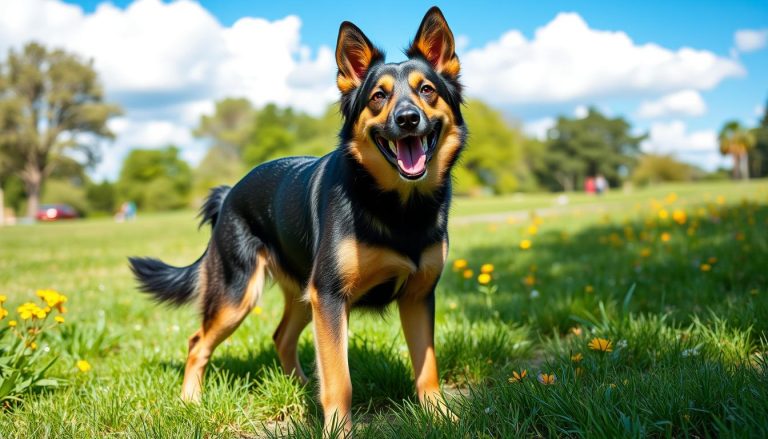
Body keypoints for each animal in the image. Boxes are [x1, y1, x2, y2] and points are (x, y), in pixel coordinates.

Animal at [130, 6, 464, 434]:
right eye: (378, 96)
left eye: (427, 90)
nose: (408, 119)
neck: (399, 206)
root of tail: (229, 193)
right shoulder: (331, 297)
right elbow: (340, 380)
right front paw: (337, 431)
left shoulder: (418, 295)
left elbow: (426, 368)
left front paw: (442, 418)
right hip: (239, 296)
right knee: (197, 342)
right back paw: (191, 401)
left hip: (305, 297)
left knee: (281, 337)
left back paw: (302, 387)